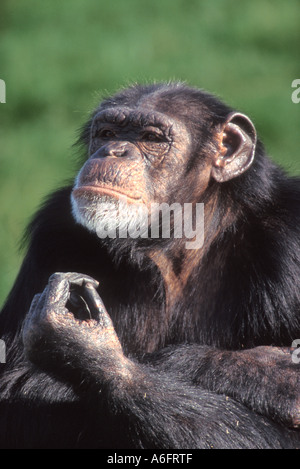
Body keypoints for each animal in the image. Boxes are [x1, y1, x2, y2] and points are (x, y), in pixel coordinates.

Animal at [0, 82, 300, 448]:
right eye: (107, 133)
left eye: (151, 138)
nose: (113, 151)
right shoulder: (52, 232)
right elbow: (13, 390)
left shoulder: (292, 238)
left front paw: (90, 351)